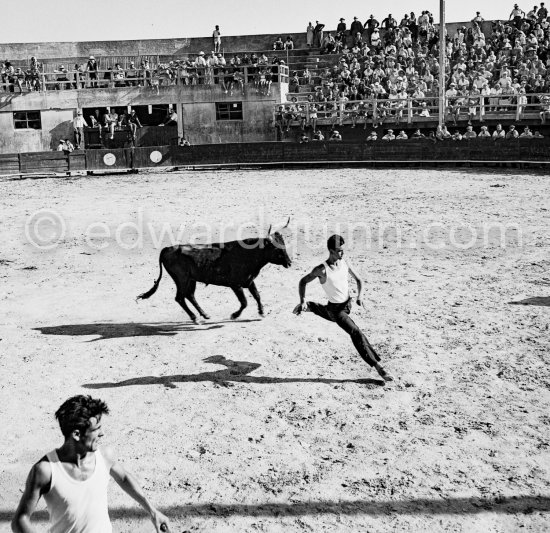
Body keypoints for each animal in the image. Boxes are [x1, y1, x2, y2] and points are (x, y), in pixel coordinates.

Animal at [138, 232, 294, 320]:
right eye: (277, 248)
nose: (289, 262)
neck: (248, 254)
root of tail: (167, 249)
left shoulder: (249, 281)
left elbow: (257, 296)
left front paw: (261, 312)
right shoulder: (235, 284)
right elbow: (244, 302)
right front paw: (234, 315)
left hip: (191, 280)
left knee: (190, 296)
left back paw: (205, 314)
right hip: (181, 279)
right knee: (180, 297)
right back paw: (195, 318)